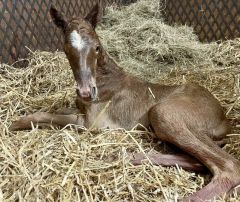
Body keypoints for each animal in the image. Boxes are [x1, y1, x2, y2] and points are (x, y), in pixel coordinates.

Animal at [9, 3, 240, 202]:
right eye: (67, 50)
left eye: (97, 47)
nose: (86, 92)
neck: (103, 79)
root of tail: (224, 118)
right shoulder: (79, 109)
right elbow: (51, 112)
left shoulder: (90, 123)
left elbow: (45, 116)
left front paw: (12, 125)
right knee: (196, 160)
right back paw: (127, 157)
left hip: (164, 113)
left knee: (229, 165)